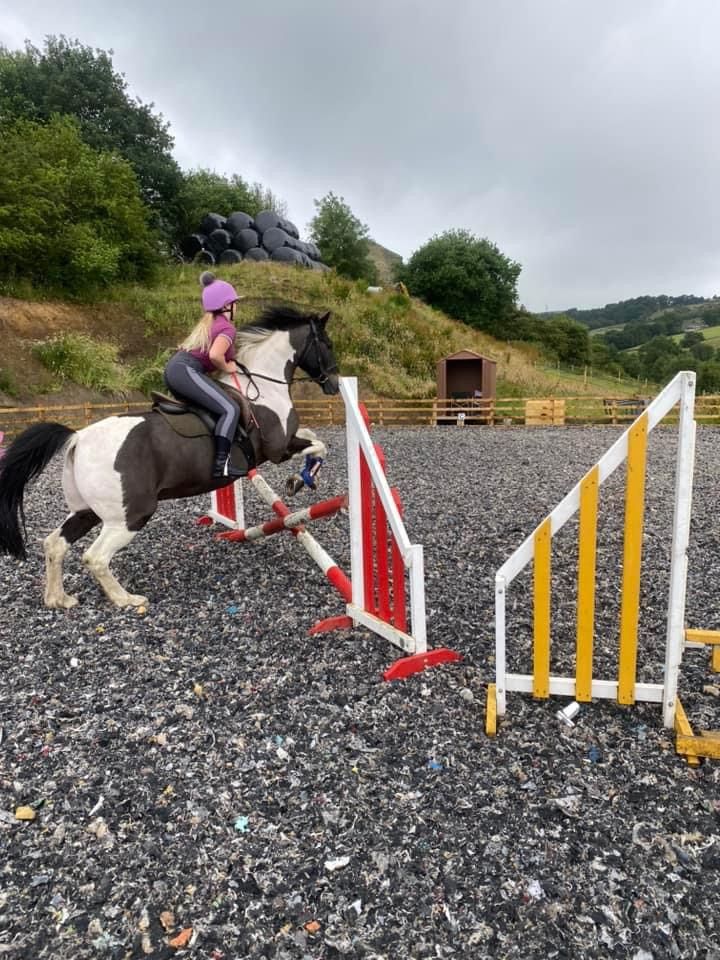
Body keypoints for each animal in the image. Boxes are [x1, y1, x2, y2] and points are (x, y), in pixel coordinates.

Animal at [0, 306, 340, 608]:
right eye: (327, 343)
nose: (335, 385)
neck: (264, 386)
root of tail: (78, 438)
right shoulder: (278, 449)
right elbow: (317, 444)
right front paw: (301, 479)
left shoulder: (285, 443)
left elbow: (314, 437)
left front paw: (304, 476)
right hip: (130, 516)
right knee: (95, 557)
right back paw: (126, 599)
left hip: (87, 510)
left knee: (55, 544)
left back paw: (58, 599)